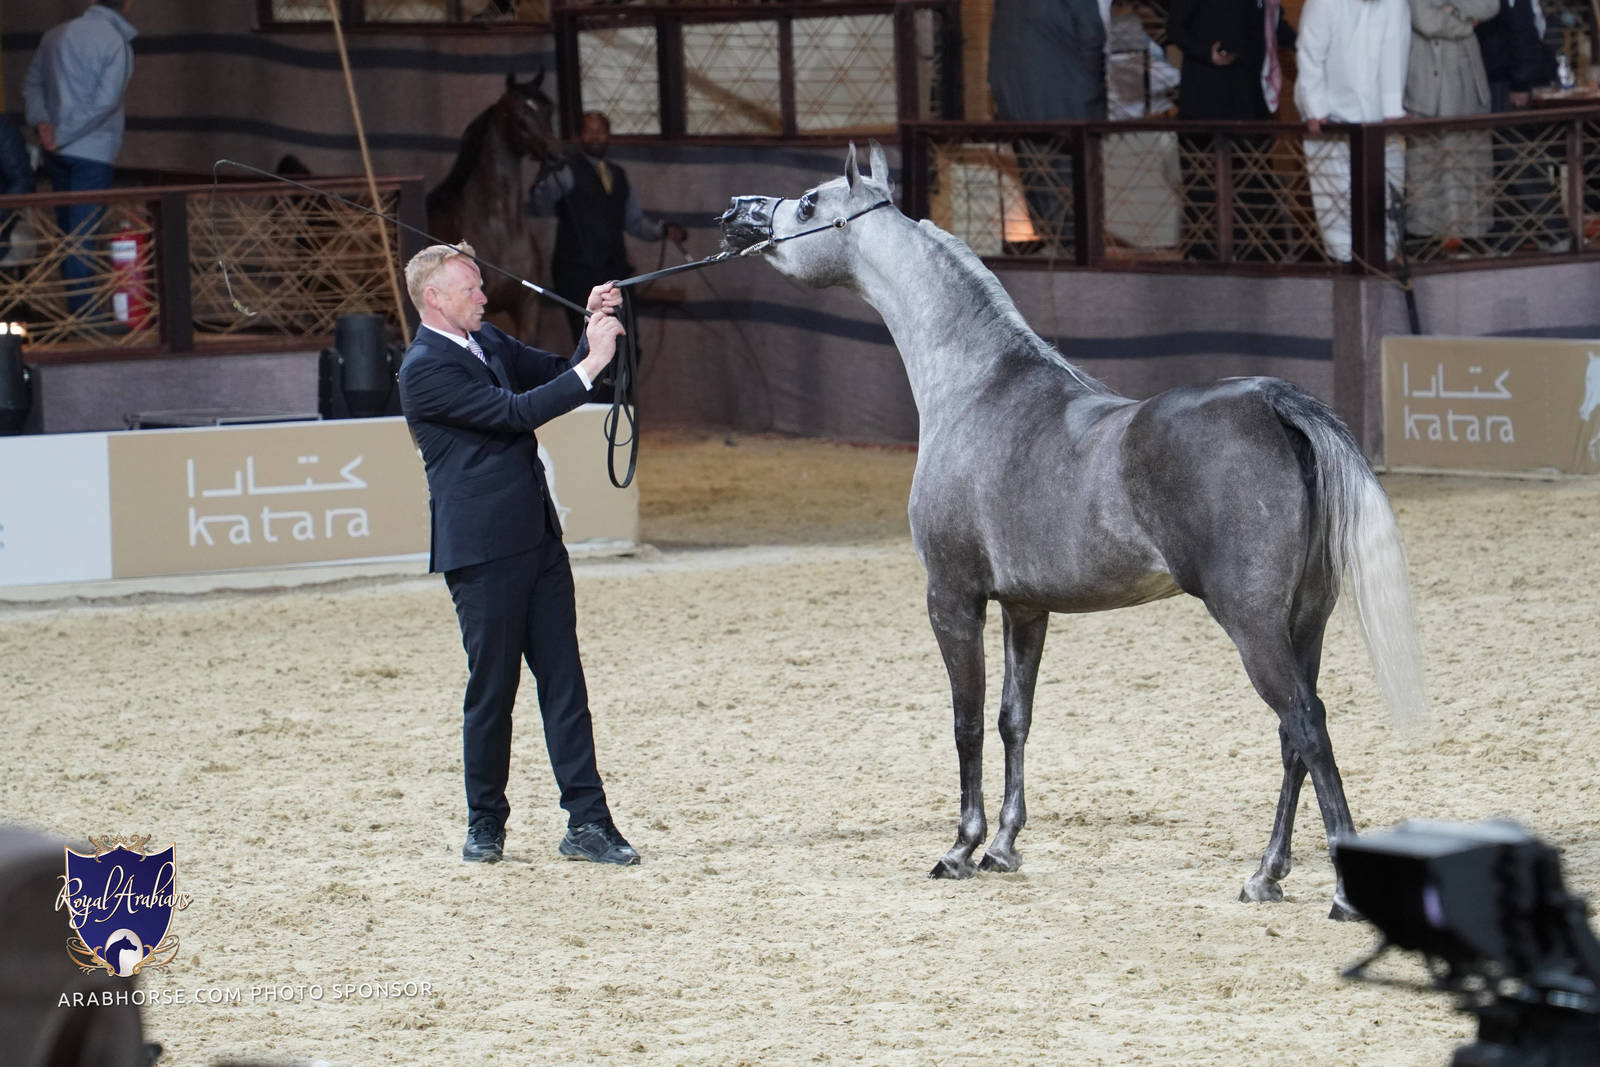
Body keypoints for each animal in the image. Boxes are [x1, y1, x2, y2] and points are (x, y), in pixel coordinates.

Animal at [717, 143, 1429, 920]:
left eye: (808, 204)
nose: (735, 213)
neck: (979, 389)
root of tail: (1275, 402)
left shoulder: (953, 598)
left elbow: (966, 720)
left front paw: (961, 848)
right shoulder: (1026, 608)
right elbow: (1013, 718)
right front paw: (1003, 845)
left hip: (1254, 623)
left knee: (1305, 723)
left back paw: (1339, 893)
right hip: (1305, 622)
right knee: (1292, 736)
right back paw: (1265, 872)